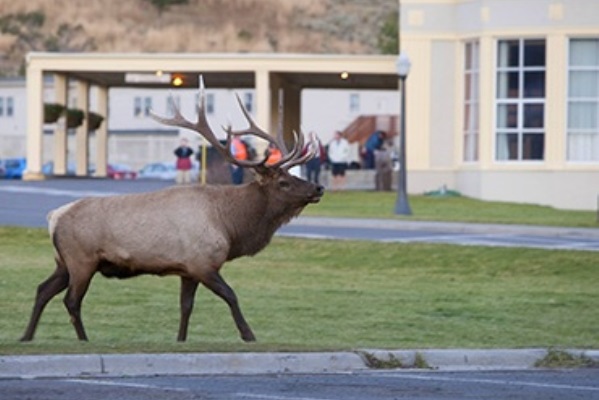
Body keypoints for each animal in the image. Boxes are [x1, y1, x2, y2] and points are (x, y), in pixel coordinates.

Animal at [19, 80, 324, 340]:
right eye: (284, 182)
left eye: (293, 176)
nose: (318, 188)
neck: (230, 225)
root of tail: (53, 217)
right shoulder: (203, 263)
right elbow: (231, 296)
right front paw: (249, 335)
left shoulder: (188, 270)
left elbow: (186, 307)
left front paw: (180, 340)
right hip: (81, 259)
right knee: (71, 300)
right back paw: (83, 339)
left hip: (63, 262)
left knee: (42, 290)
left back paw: (26, 336)